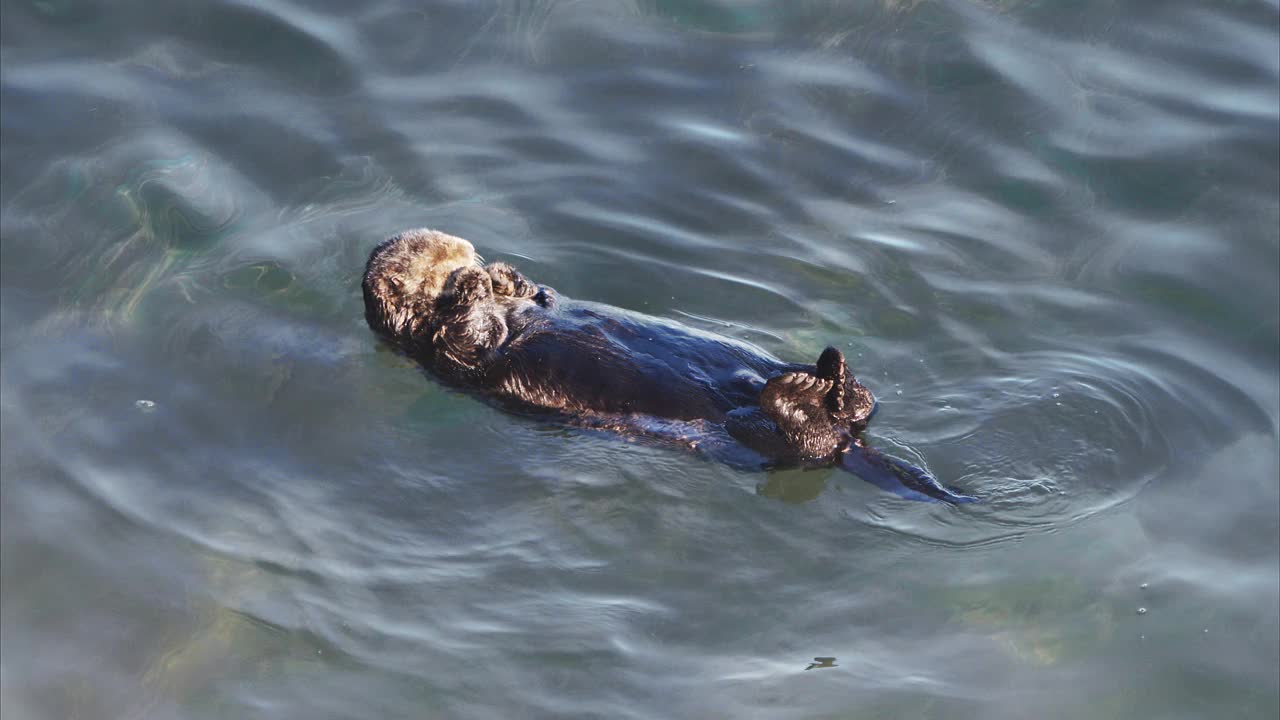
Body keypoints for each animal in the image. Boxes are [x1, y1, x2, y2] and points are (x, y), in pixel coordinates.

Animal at [360, 226, 967, 502]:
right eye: (428, 256)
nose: (467, 257)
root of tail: (848, 444)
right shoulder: (437, 347)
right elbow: (466, 334)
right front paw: (470, 288)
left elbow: (526, 293)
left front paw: (502, 276)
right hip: (752, 441)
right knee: (803, 443)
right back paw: (800, 396)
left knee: (853, 413)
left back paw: (837, 380)